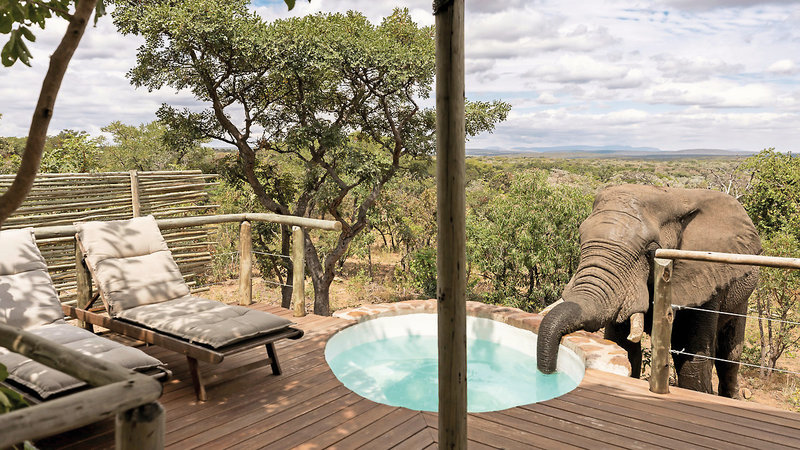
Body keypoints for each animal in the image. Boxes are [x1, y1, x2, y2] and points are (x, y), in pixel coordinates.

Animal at [537, 184, 761, 398]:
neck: (673, 196)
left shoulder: (705, 275)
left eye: (651, 251)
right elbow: (623, 346)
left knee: (729, 356)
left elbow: (692, 358)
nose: (549, 372)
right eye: (580, 239)